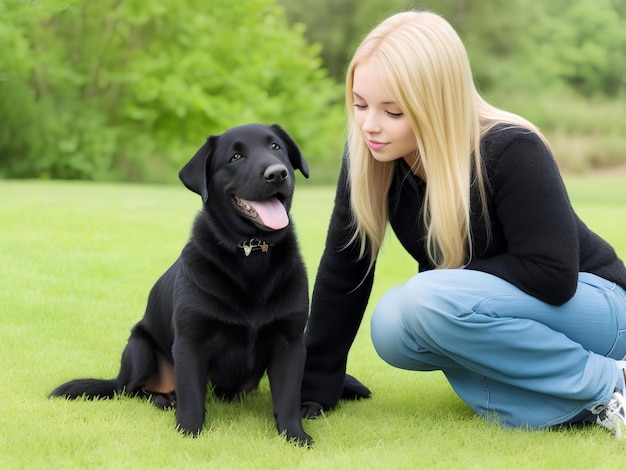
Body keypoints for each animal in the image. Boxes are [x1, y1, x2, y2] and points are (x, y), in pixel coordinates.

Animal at [50, 123, 310, 446]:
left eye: (276, 148)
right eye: (235, 156)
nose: (277, 173)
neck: (251, 254)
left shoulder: (291, 341)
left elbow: (288, 397)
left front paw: (295, 436)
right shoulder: (190, 342)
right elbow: (191, 397)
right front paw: (188, 432)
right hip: (140, 349)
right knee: (132, 390)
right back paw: (162, 399)